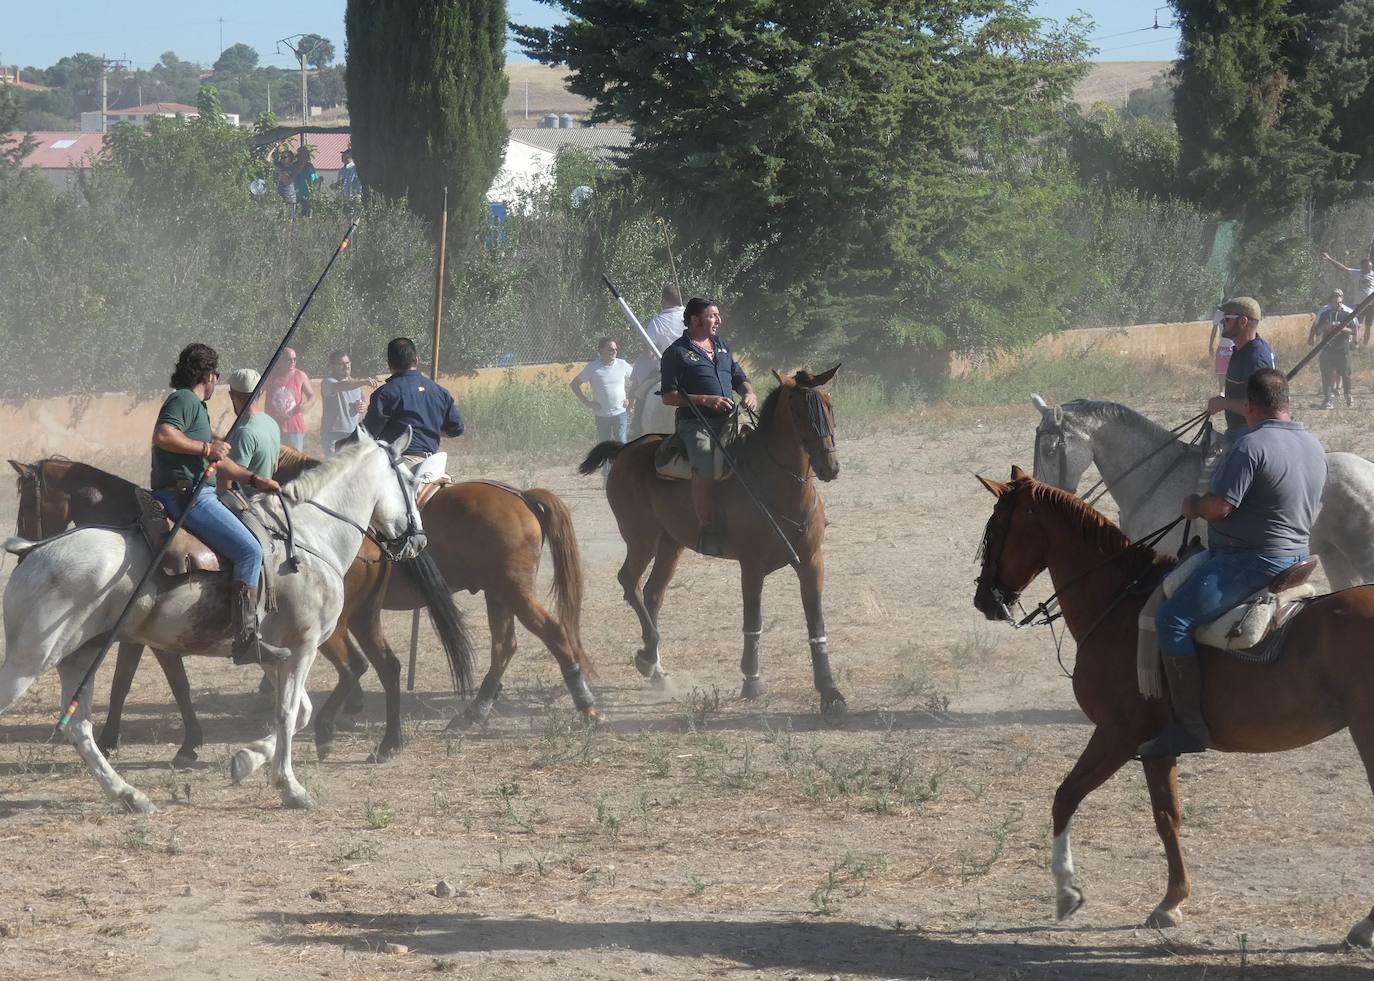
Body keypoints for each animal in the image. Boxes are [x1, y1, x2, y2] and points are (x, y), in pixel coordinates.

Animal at [0, 428, 436, 807]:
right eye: (409, 480)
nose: (418, 538)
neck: (309, 538)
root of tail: (34, 552)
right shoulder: (303, 646)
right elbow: (287, 712)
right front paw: (290, 787)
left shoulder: (274, 654)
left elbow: (298, 712)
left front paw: (247, 760)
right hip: (31, 659)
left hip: (81, 656)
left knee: (78, 727)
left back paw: (129, 795)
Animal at [574, 362, 840, 714]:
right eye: (797, 411)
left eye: (829, 404)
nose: (829, 466)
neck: (779, 485)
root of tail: (626, 449)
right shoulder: (751, 567)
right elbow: (753, 621)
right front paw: (752, 681)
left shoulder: (812, 562)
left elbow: (817, 625)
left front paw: (830, 691)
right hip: (641, 537)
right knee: (629, 582)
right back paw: (647, 656)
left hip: (670, 544)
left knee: (653, 593)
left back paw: (657, 668)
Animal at [972, 464, 1374, 939]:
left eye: (996, 528)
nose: (984, 599)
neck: (1119, 603)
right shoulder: (1156, 747)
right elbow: (1169, 816)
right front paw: (1172, 901)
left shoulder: (1121, 734)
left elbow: (1068, 797)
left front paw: (1068, 892)